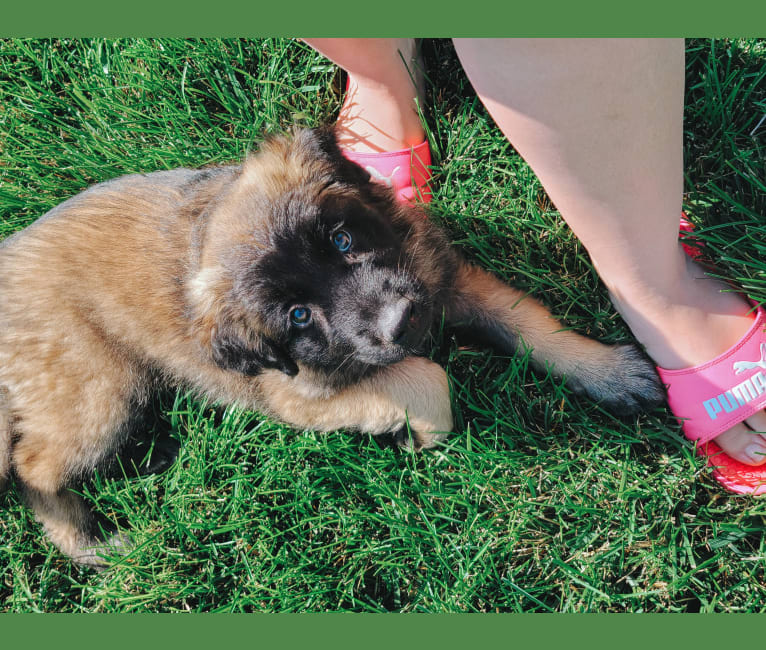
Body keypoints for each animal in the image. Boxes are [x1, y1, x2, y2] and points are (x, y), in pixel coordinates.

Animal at [0, 129, 664, 564]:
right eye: (298, 316)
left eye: (342, 240)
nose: (402, 322)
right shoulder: (299, 396)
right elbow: (428, 378)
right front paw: (423, 437)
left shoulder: (442, 279)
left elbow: (530, 323)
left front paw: (610, 372)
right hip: (100, 391)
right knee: (32, 466)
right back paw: (91, 545)